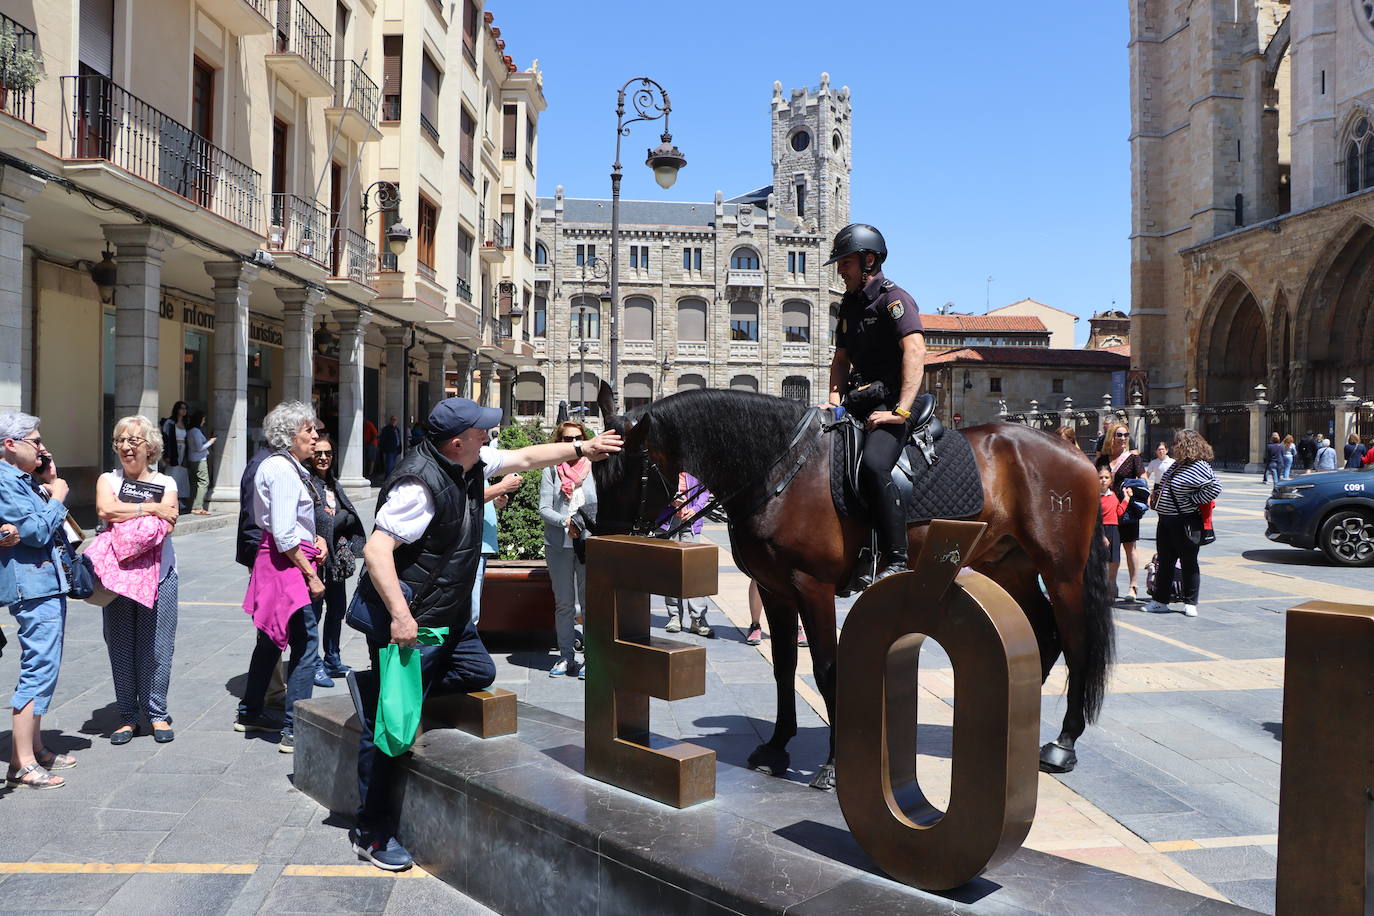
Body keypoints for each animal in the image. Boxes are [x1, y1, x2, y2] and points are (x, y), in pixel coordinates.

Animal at [593, 384, 1115, 791]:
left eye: (629, 474)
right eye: (596, 469)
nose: (596, 546)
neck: (781, 469)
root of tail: (1074, 450)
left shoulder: (813, 587)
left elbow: (826, 670)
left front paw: (830, 766)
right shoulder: (774, 589)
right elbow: (784, 667)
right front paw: (777, 748)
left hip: (1062, 572)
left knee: (1075, 643)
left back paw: (1062, 744)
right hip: (1008, 564)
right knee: (1043, 634)